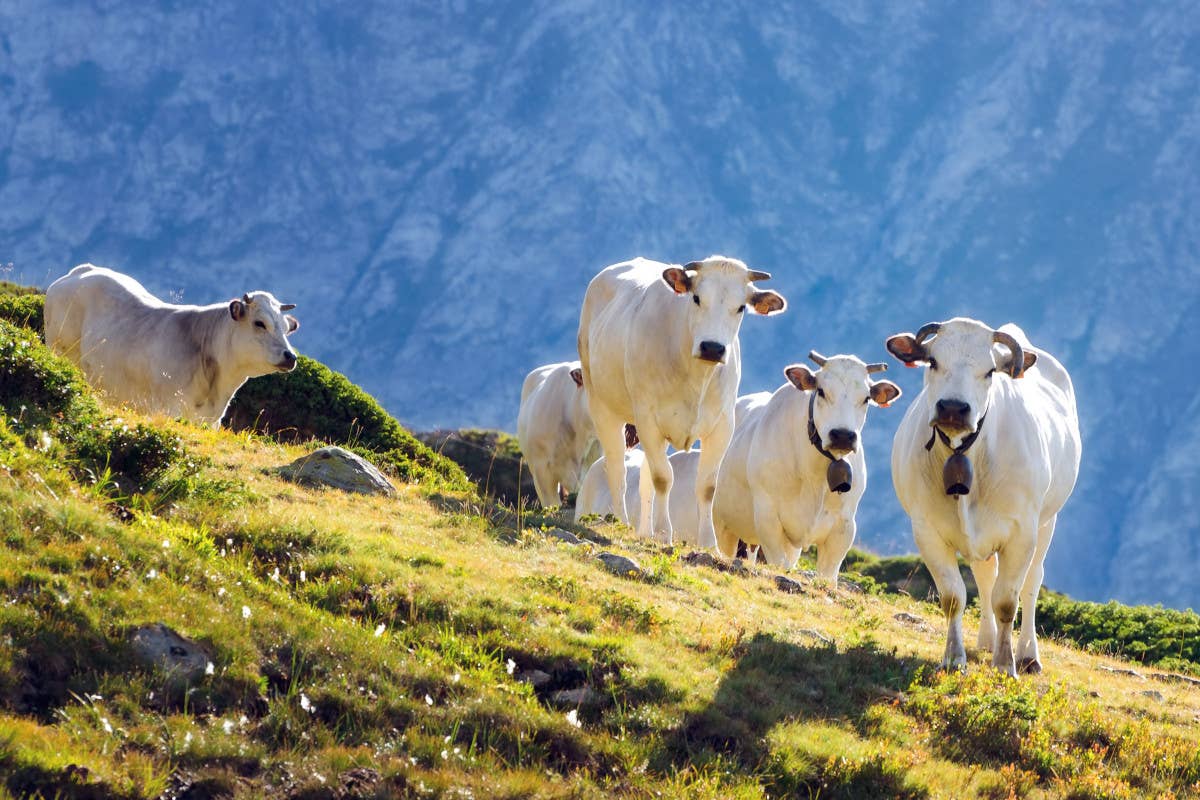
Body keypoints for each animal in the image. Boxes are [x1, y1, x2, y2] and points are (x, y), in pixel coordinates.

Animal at [46, 263, 300, 429]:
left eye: (286, 328)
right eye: (260, 323)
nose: (290, 356)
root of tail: (81, 271)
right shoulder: (169, 409)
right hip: (61, 351)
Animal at [710, 352, 902, 585]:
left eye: (866, 398)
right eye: (821, 391)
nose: (843, 435)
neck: (815, 476)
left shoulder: (844, 526)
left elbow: (827, 577)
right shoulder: (767, 517)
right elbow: (779, 565)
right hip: (722, 522)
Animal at [888, 316, 1084, 676]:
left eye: (991, 371)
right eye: (932, 361)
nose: (953, 407)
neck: (965, 452)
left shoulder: (1022, 533)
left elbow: (1007, 600)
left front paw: (1006, 665)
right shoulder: (927, 530)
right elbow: (954, 596)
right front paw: (954, 658)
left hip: (1047, 521)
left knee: (1032, 582)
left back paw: (1028, 655)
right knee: (984, 576)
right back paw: (987, 640)